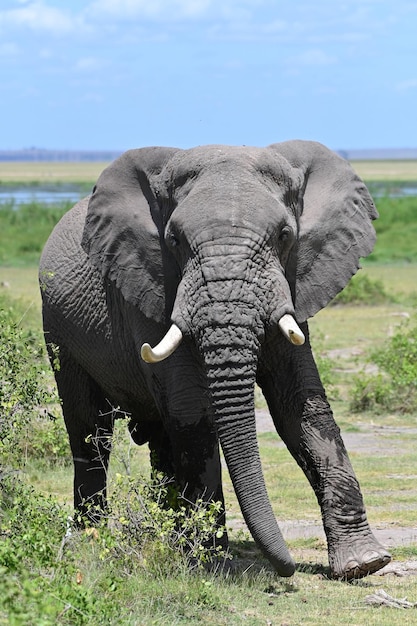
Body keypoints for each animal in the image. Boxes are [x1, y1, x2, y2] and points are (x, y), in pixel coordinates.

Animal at [39, 139, 390, 576]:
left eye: (285, 235)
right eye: (174, 241)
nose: (289, 566)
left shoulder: (294, 283)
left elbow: (301, 407)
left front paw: (364, 564)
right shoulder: (150, 289)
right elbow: (192, 412)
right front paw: (211, 563)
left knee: (159, 439)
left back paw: (164, 538)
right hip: (58, 333)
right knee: (89, 431)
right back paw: (90, 543)